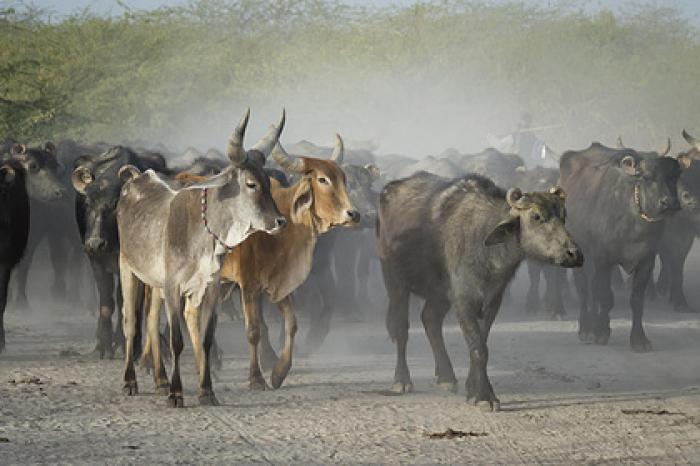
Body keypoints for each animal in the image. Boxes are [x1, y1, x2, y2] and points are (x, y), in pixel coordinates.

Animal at [220, 135, 360, 390]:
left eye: (343, 179)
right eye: (323, 179)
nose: (354, 214)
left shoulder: (280, 282)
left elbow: (291, 324)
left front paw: (279, 371)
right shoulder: (248, 286)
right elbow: (253, 330)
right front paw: (256, 378)